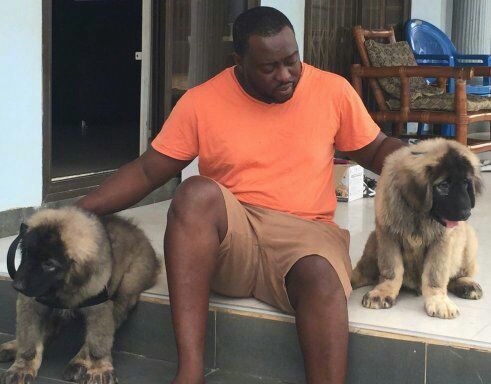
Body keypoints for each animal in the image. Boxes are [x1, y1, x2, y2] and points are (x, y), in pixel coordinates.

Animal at [354, 138, 484, 318]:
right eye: (443, 185)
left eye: (466, 183)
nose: (466, 213)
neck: (419, 214)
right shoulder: (388, 235)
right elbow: (391, 270)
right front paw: (383, 292)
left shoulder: (442, 241)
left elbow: (435, 274)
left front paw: (439, 301)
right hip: (373, 239)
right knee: (363, 271)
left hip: (468, 241)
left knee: (458, 274)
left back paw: (467, 284)